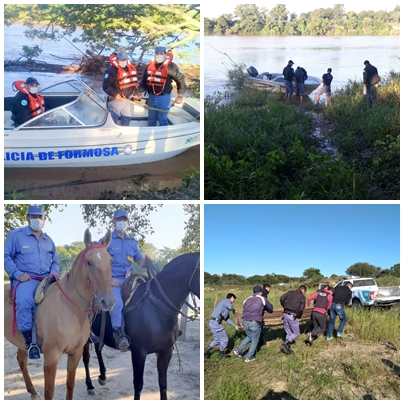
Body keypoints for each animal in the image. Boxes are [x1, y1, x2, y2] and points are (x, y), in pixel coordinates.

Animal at [3, 229, 115, 400]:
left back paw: (33, 391)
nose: (108, 302)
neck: (70, 309)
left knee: (21, 361)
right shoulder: (51, 357)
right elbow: (49, 392)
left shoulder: (75, 353)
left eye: (111, 261)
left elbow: (70, 384)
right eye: (89, 262)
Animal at [82, 251, 200, 400]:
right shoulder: (139, 353)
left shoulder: (166, 351)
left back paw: (102, 376)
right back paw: (89, 386)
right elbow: (138, 384)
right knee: (86, 359)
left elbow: (163, 383)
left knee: (98, 349)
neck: (156, 309)